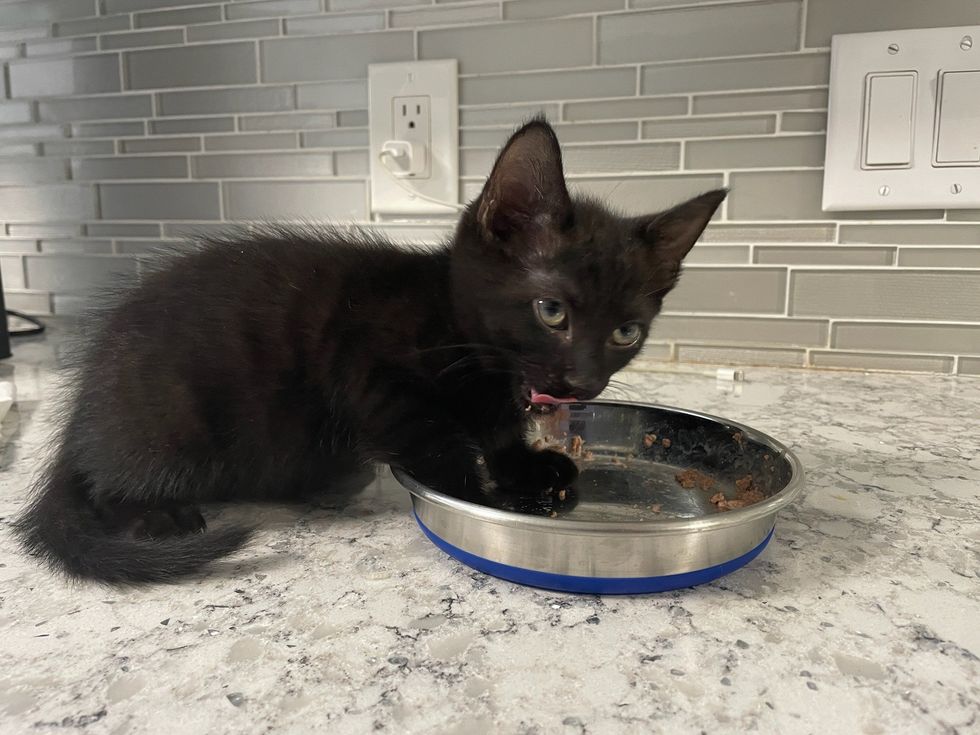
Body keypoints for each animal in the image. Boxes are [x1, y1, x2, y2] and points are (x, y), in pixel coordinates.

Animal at [11, 118, 724, 584]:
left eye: (626, 333)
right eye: (552, 312)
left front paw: (524, 465)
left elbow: (497, 429)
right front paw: (487, 496)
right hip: (170, 418)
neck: (469, 343)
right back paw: (159, 516)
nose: (582, 382)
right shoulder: (371, 375)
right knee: (111, 486)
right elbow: (439, 445)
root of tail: (79, 417)